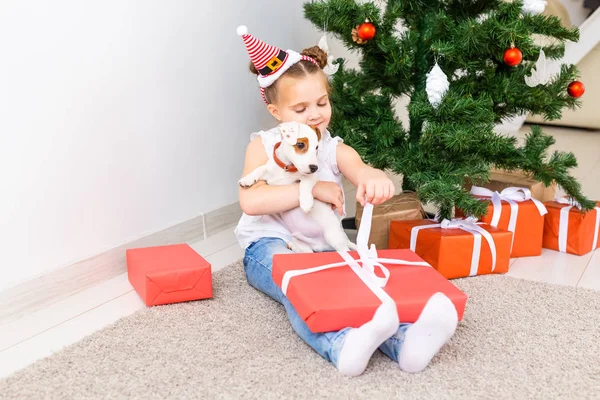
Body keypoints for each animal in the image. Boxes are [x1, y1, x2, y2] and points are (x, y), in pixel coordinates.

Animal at [238, 122, 356, 253]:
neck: (286, 168)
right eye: (300, 144)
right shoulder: (270, 177)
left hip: (334, 237)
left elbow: (304, 183)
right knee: (306, 252)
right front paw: (247, 179)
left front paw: (306, 203)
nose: (314, 167)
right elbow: (260, 168)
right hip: (302, 243)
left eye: (316, 147)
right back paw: (293, 246)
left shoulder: (312, 177)